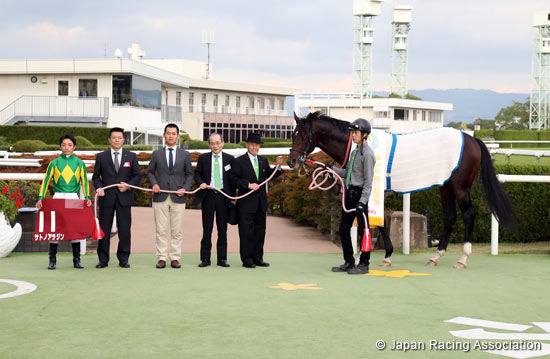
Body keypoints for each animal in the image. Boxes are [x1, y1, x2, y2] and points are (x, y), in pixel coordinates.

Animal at [288, 111, 516, 268]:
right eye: (292, 134)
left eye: (304, 135)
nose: (292, 161)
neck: (358, 146)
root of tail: (471, 139)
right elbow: (376, 223)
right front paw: (383, 255)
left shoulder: (374, 191)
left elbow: (374, 222)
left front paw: (377, 256)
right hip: (445, 186)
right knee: (450, 216)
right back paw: (436, 255)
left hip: (460, 187)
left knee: (468, 215)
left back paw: (462, 258)